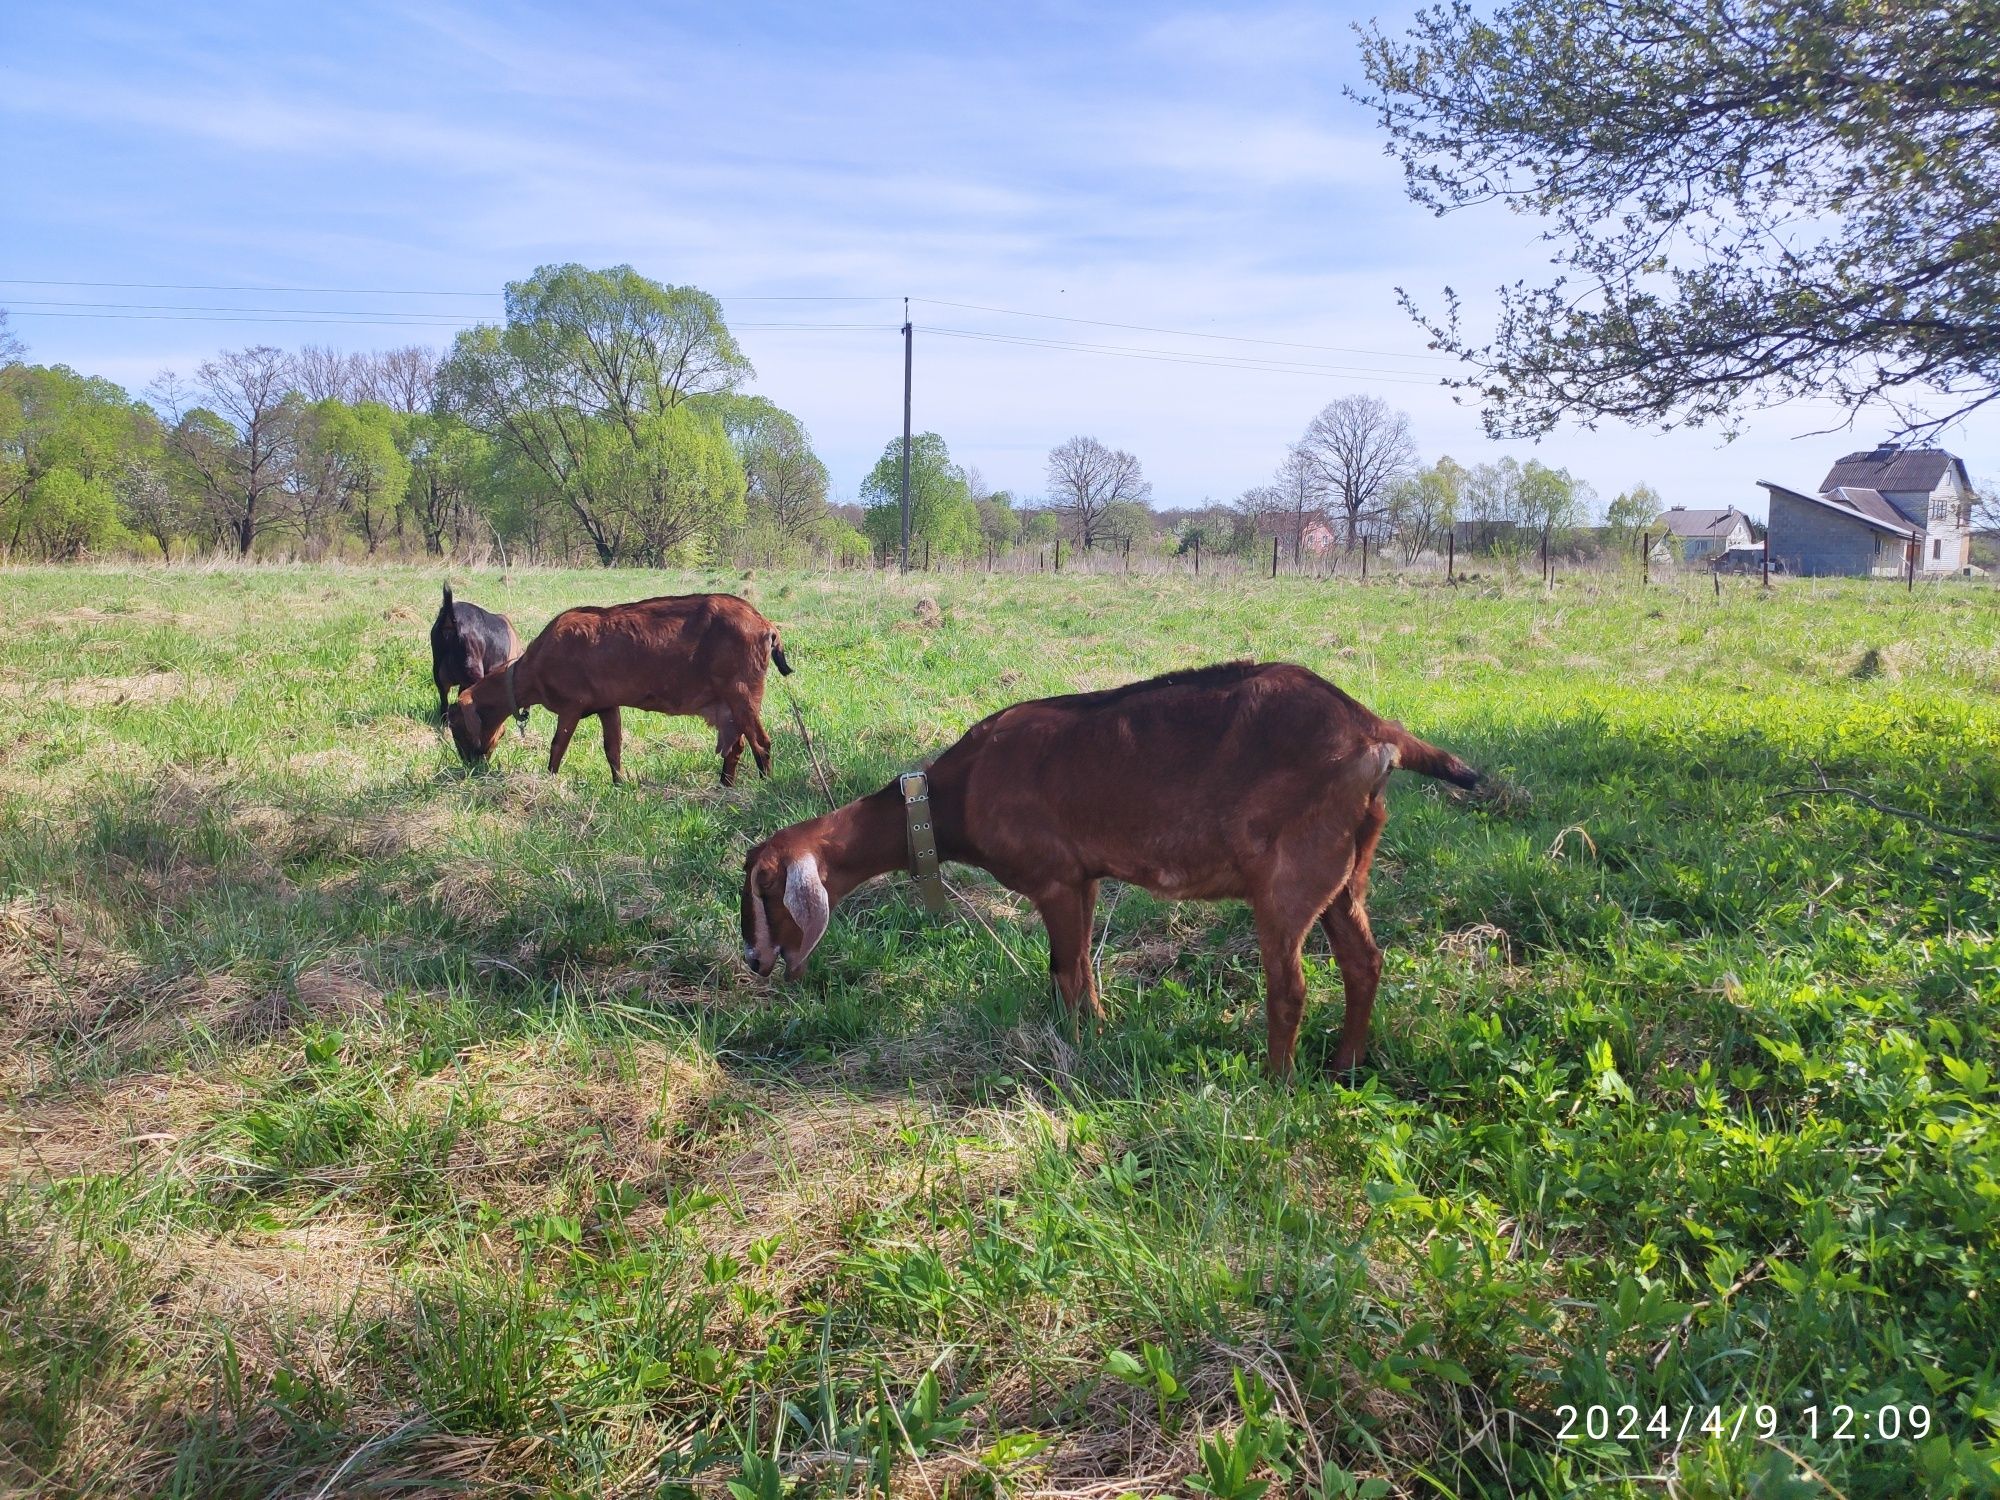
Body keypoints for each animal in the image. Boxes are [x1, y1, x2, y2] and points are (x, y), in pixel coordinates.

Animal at [458, 596, 792, 792]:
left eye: (454, 725)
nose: (470, 765)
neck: (531, 667)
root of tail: (765, 624)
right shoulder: (608, 705)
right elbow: (613, 748)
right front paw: (619, 785)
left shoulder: (571, 705)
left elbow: (557, 746)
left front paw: (549, 781)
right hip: (729, 705)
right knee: (735, 747)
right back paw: (725, 788)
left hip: (742, 693)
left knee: (761, 743)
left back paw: (765, 788)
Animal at [744, 668, 1480, 1080]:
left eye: (764, 888)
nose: (753, 960)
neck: (949, 797)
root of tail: (1373, 729)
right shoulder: (1085, 878)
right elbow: (1077, 969)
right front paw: (1099, 1030)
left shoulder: (1053, 878)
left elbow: (1066, 971)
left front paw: (1081, 1044)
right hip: (1346, 870)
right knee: (1365, 961)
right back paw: (1346, 1065)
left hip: (1293, 873)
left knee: (1291, 985)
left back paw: (1277, 1083)